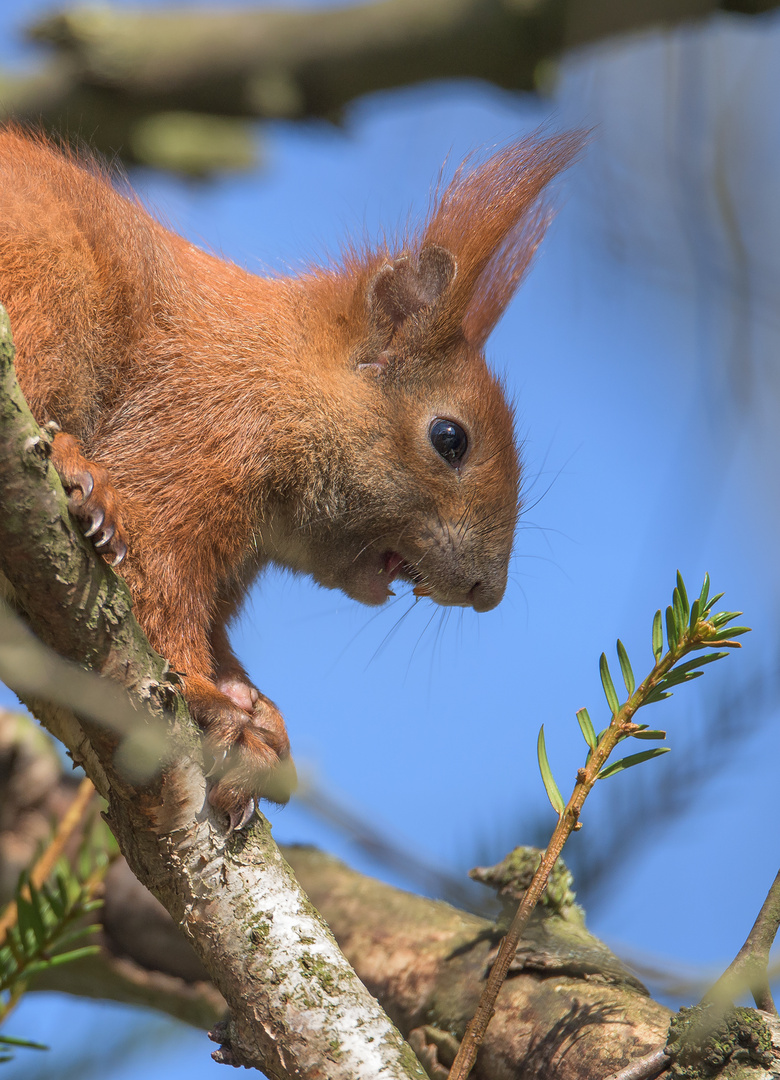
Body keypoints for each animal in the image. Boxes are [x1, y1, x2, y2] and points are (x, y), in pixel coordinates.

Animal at [0, 128, 579, 825]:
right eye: (450, 439)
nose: (486, 591)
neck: (282, 380)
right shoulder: (191, 439)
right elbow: (154, 584)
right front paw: (206, 697)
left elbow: (212, 631)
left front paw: (256, 719)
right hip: (49, 287)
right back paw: (76, 471)